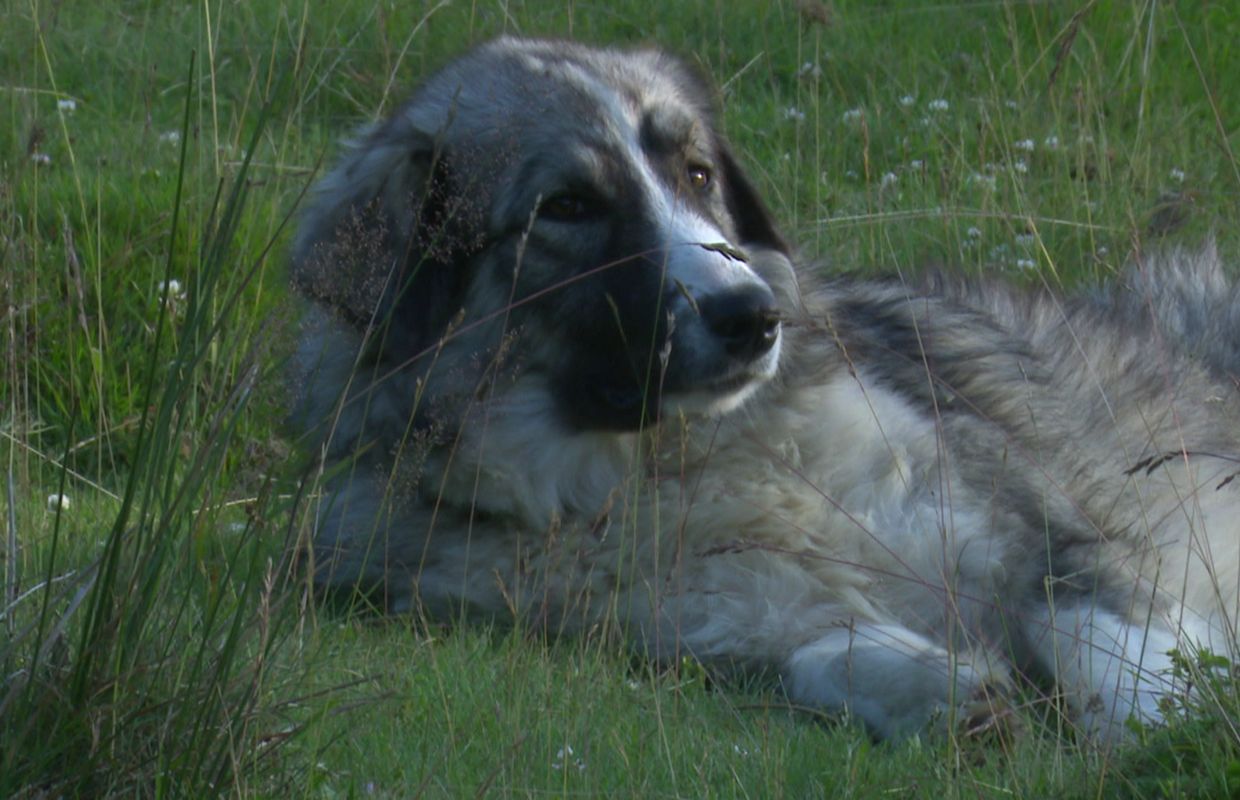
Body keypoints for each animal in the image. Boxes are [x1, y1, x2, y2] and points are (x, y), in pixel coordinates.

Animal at [287, 35, 1240, 734]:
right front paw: (942, 688)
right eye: (567, 207)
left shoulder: (1052, 538)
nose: (752, 315)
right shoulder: (708, 627)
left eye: (698, 175)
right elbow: (819, 654)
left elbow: (1102, 646)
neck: (688, 459)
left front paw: (1175, 726)